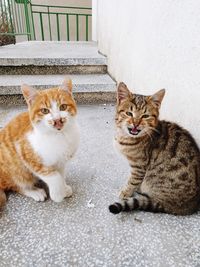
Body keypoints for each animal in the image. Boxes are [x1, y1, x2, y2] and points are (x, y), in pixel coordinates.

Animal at [0, 77, 79, 207]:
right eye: (44, 110)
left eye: (63, 107)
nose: (57, 120)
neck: (59, 136)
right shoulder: (26, 154)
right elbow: (54, 176)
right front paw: (58, 194)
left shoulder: (61, 161)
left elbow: (61, 174)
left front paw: (64, 188)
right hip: (12, 168)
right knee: (15, 184)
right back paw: (34, 191)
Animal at [109, 82, 200, 217]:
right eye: (129, 113)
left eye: (145, 116)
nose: (135, 124)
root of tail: (190, 206)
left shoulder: (139, 166)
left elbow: (133, 181)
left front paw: (126, 192)